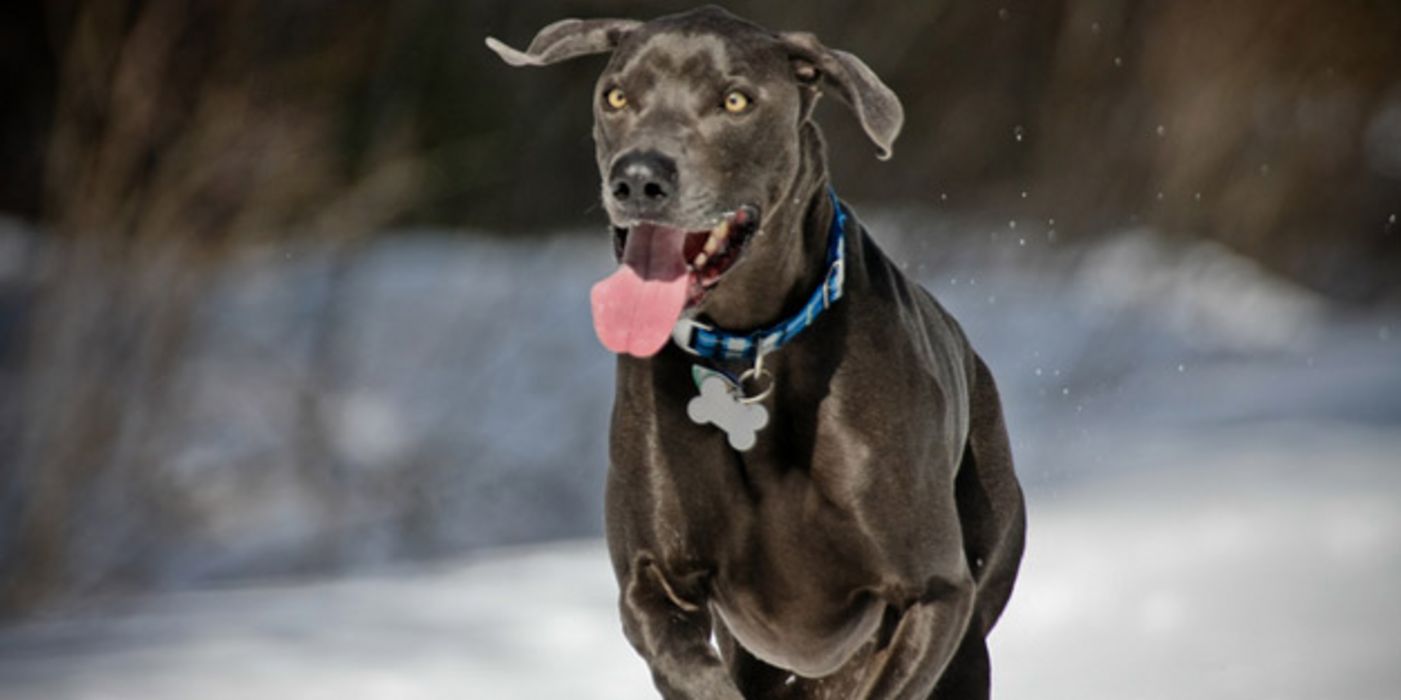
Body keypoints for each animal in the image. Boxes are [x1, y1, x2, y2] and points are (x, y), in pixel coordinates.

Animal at [487, 6, 1025, 700]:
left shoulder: (933, 593)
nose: (638, 178)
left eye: (735, 100)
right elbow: (699, 672)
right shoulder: (651, 587)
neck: (747, 345)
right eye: (617, 96)